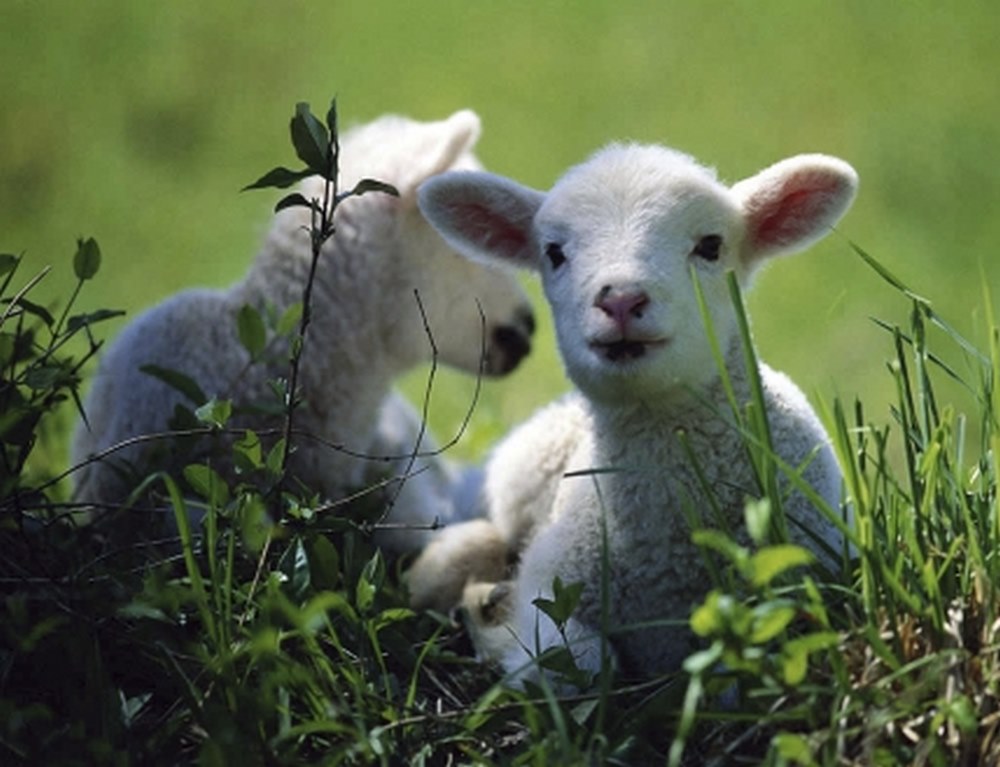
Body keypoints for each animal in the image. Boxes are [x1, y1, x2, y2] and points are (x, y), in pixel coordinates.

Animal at [408, 142, 857, 681]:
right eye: (553, 252)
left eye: (711, 246)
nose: (621, 299)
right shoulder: (551, 585)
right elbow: (580, 662)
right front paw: (495, 627)